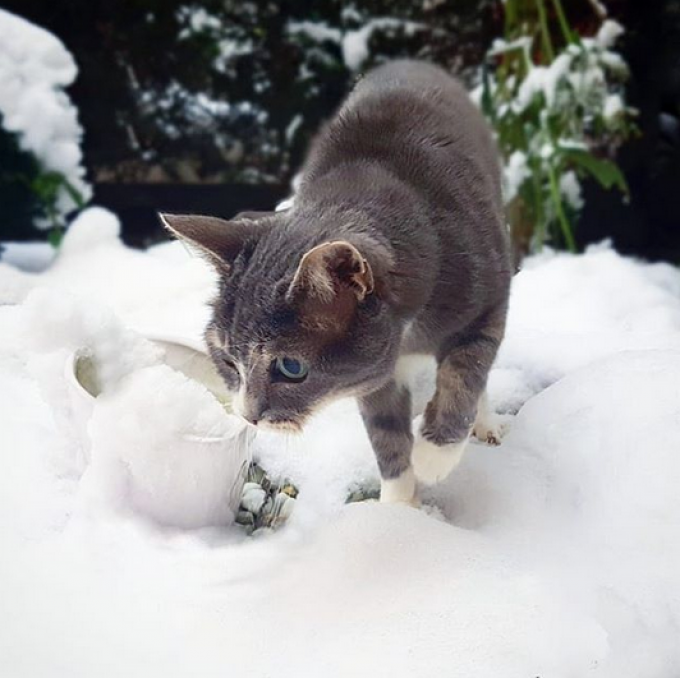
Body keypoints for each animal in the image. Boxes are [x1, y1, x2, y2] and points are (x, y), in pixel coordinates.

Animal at [163, 61, 510, 508]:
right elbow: (385, 433)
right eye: (227, 361)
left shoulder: (487, 299)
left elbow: (466, 371)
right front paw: (399, 510)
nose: (248, 416)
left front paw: (434, 454)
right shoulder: (375, 373)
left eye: (291, 368)